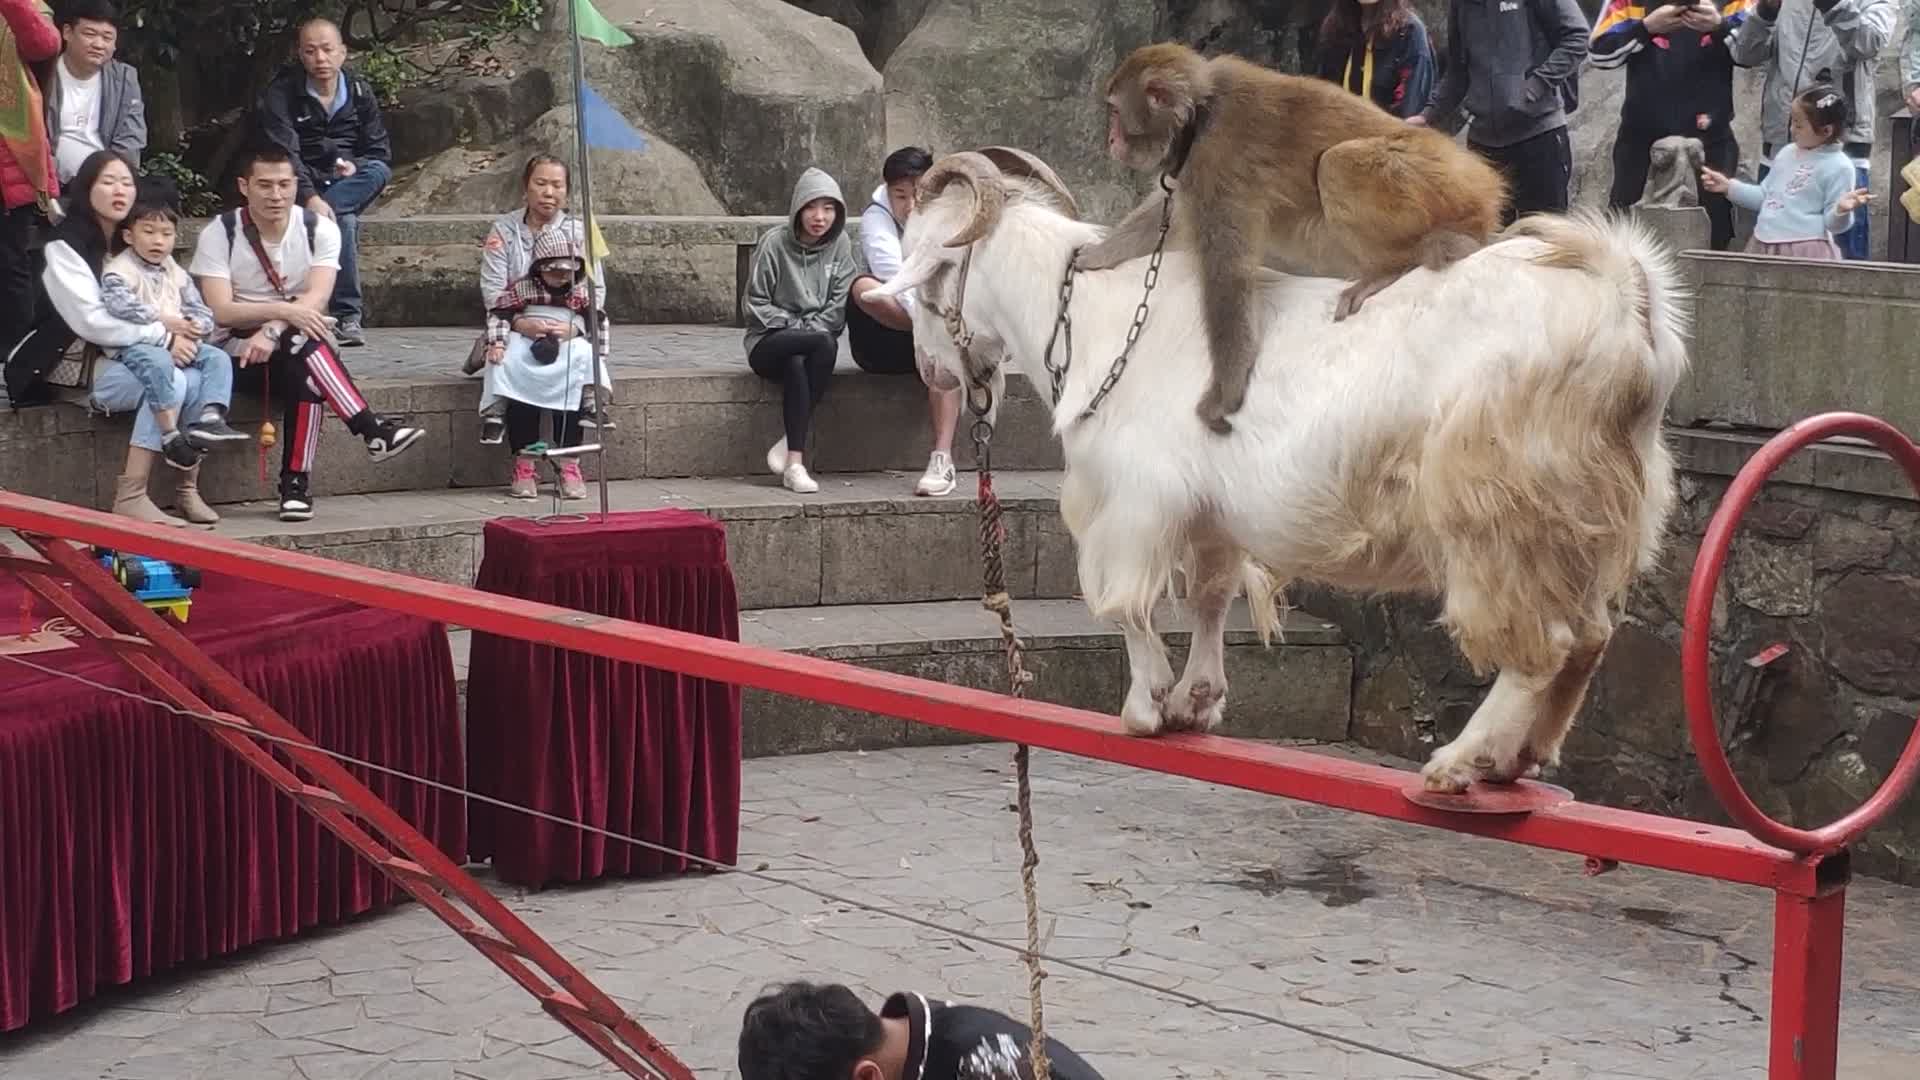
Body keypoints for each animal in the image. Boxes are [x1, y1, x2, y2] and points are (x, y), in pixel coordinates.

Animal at [875, 151, 1697, 791]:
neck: (1094, 317)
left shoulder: (1134, 501)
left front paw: (1145, 707)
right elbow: (1209, 598)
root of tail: (1622, 302)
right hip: (1589, 514)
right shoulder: (1208, 512)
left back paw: (1462, 763)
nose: (932, 372)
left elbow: (1125, 604)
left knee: (1544, 644)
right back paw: (1520, 758)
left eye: (926, 276)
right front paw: (1196, 701)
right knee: (1591, 636)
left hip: (1502, 508)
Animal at [1082, 45, 1512, 432]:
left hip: (1447, 183)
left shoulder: (1217, 162)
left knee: (1336, 165)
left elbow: (1229, 275)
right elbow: (1164, 214)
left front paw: (1225, 392)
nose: (1110, 141)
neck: (1200, 114)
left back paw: (1389, 269)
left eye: (1116, 112)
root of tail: (1483, 182)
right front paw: (1099, 254)